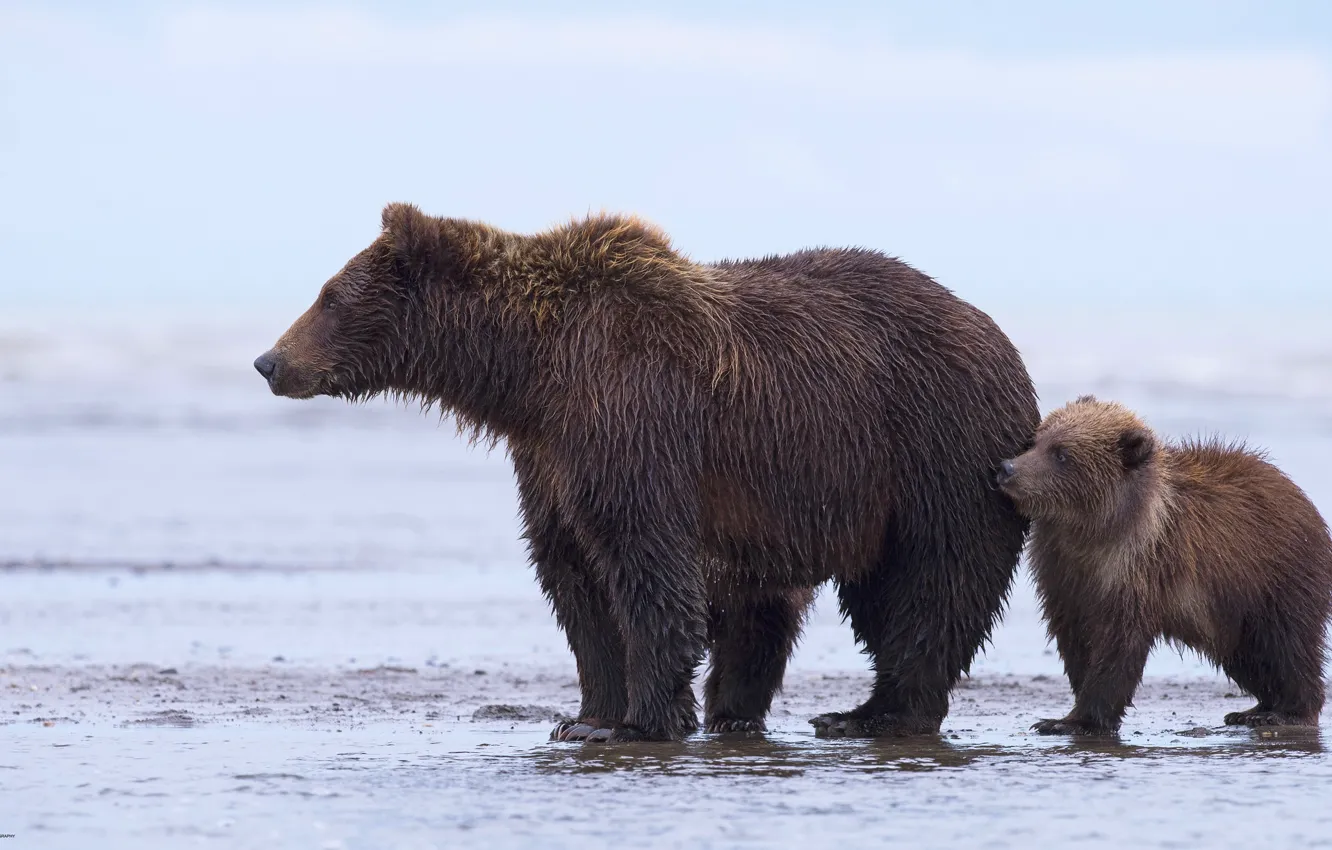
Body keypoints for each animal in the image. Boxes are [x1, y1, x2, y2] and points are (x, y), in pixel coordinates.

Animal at [254, 203, 1039, 743]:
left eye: (328, 296)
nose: (269, 361)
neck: (529, 374)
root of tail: (1002, 339)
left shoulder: (630, 417)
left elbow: (643, 562)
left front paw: (641, 719)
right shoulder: (550, 456)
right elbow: (574, 576)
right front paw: (586, 714)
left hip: (930, 451)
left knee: (926, 584)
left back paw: (876, 712)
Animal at [996, 395, 1332, 735]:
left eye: (1062, 454)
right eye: (1036, 440)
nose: (1007, 468)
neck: (1094, 530)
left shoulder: (1137, 572)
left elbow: (1118, 645)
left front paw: (1076, 720)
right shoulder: (1062, 572)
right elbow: (1075, 638)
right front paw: (1070, 711)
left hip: (1272, 578)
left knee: (1285, 647)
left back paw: (1285, 711)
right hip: (1228, 609)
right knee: (1246, 657)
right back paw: (1253, 709)